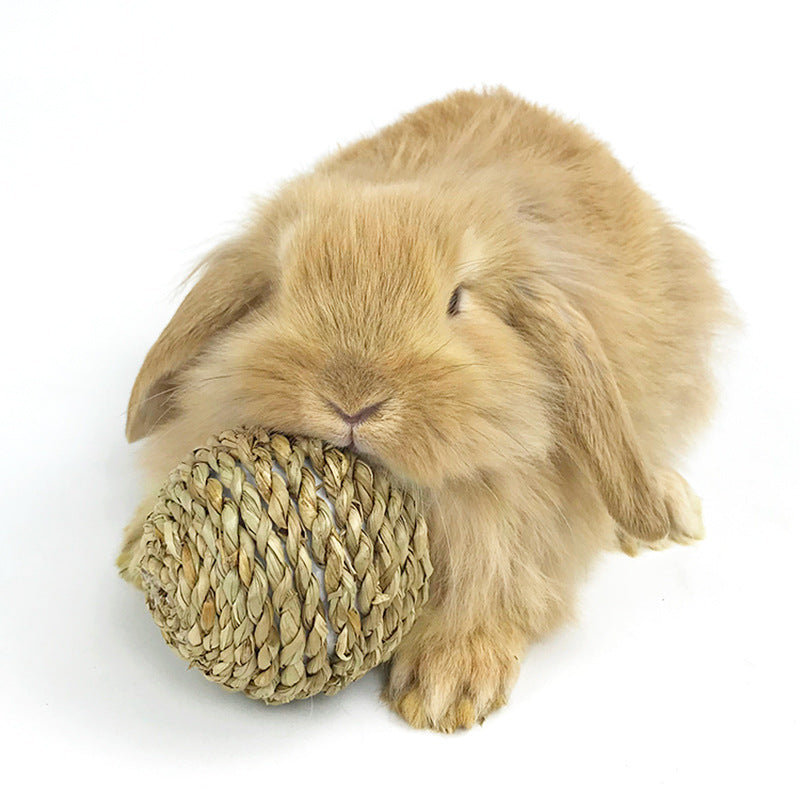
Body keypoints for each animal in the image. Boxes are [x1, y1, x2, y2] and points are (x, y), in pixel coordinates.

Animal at [118, 87, 732, 732]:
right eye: (281, 287)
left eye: (457, 301)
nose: (352, 400)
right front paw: (135, 546)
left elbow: (496, 586)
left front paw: (446, 686)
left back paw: (670, 513)